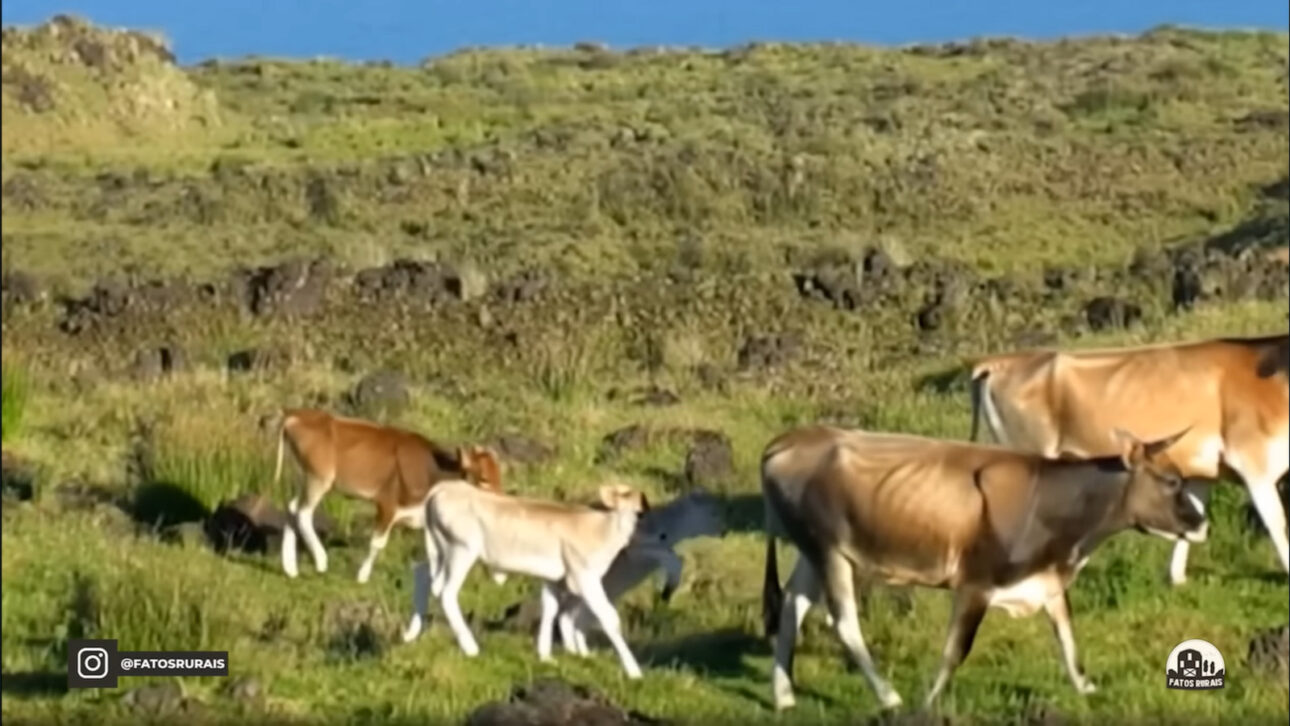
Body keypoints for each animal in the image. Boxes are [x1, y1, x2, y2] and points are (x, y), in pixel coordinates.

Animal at [272, 408, 503, 584]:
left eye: (499, 475)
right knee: (303, 513)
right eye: (484, 479)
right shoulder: (387, 504)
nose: (501, 500)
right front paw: (362, 576)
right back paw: (321, 560)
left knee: (292, 508)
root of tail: (295, 415)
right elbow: (377, 543)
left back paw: (290, 567)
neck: (432, 472)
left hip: (303, 476)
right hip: (319, 478)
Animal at [761, 424, 1206, 711]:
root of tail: (785, 442)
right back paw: (888, 696)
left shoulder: (1046, 579)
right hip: (828, 549)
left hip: (813, 550)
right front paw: (928, 702)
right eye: (1171, 481)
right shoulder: (976, 582)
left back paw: (783, 696)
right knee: (844, 623)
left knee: (791, 605)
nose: (1201, 522)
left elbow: (1067, 638)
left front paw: (1087, 687)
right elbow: (956, 650)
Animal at [968, 333, 1289, 585]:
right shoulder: (1254, 464)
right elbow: (1277, 521)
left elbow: (1195, 518)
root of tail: (998, 362)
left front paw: (1176, 578)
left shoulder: (1203, 470)